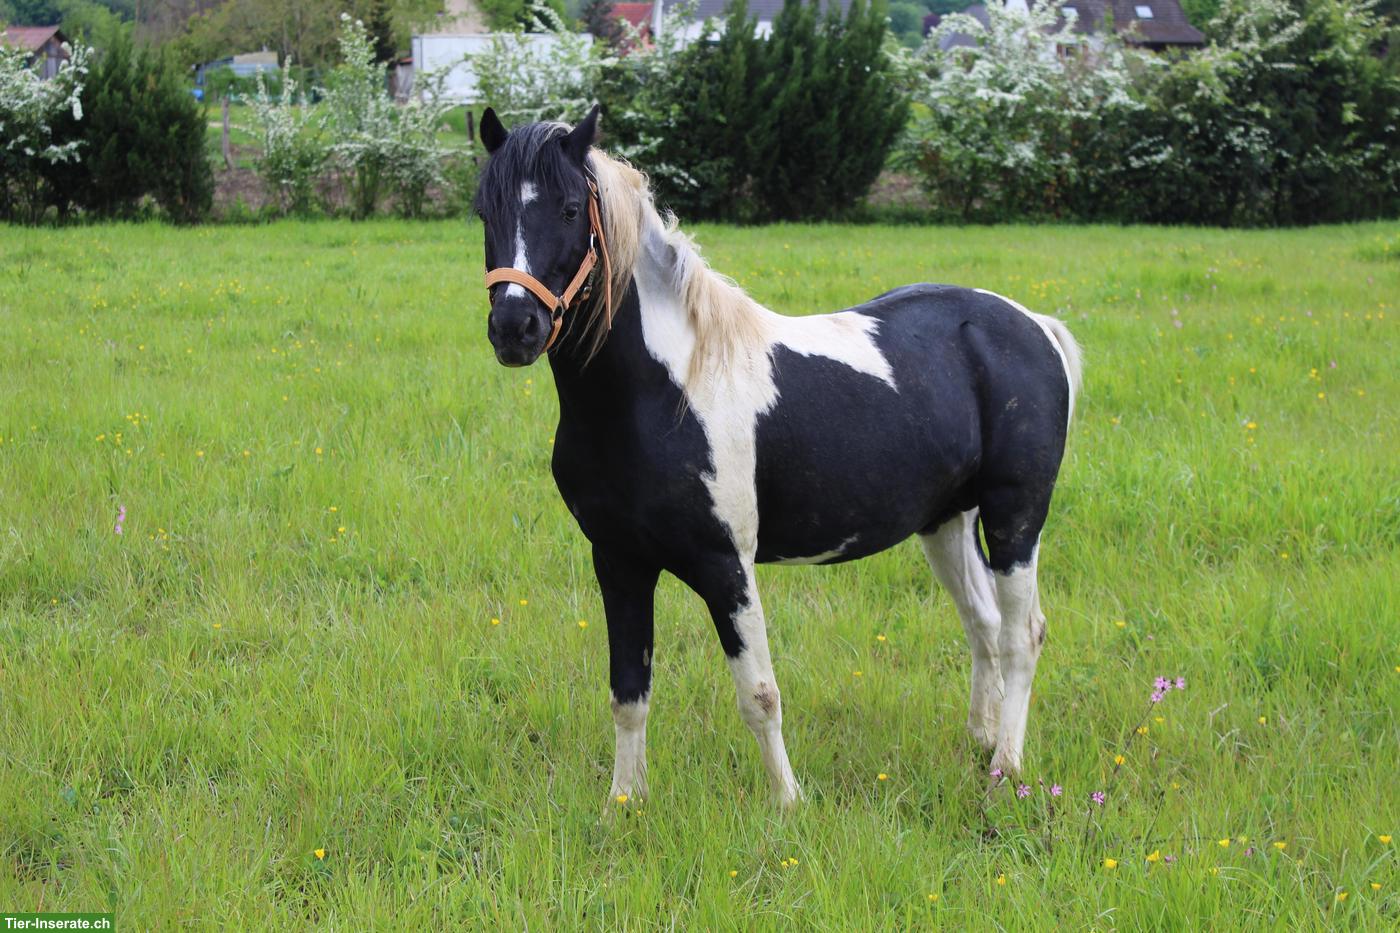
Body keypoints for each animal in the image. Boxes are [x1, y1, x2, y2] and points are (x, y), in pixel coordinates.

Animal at [474, 105, 1082, 807]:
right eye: (484, 209)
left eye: (571, 208)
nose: (514, 329)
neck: (664, 392)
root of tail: (1034, 325)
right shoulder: (619, 562)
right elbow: (629, 695)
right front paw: (624, 806)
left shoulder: (726, 565)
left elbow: (759, 694)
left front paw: (787, 805)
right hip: (946, 521)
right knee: (981, 622)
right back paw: (980, 740)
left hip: (1016, 517)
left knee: (1020, 633)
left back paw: (1005, 766)